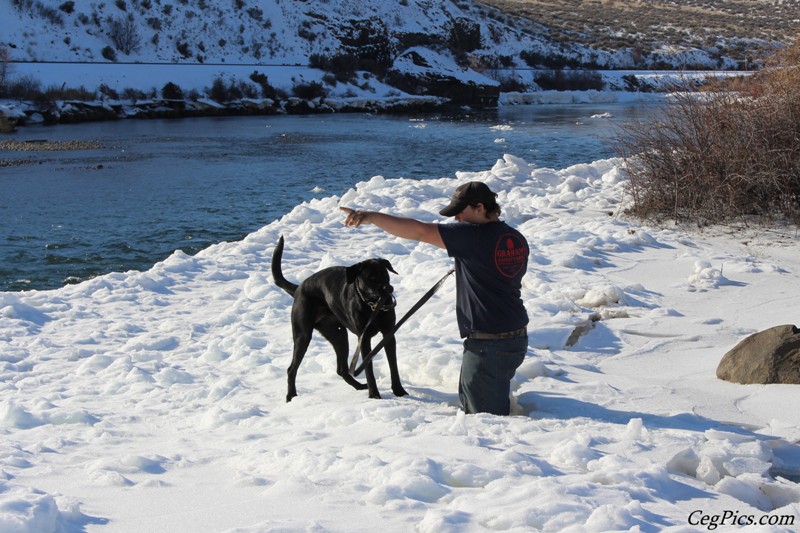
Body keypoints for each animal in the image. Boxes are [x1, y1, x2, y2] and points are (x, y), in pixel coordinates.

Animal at [272, 235, 410, 402]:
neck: (373, 306)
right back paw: (291, 396)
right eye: (371, 278)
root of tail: (298, 288)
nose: (389, 289)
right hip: (303, 335)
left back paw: (359, 386)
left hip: (338, 334)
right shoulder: (364, 339)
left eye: (385, 274)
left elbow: (393, 366)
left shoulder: (389, 333)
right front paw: (374, 395)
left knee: (341, 369)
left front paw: (399, 390)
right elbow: (369, 369)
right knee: (291, 369)